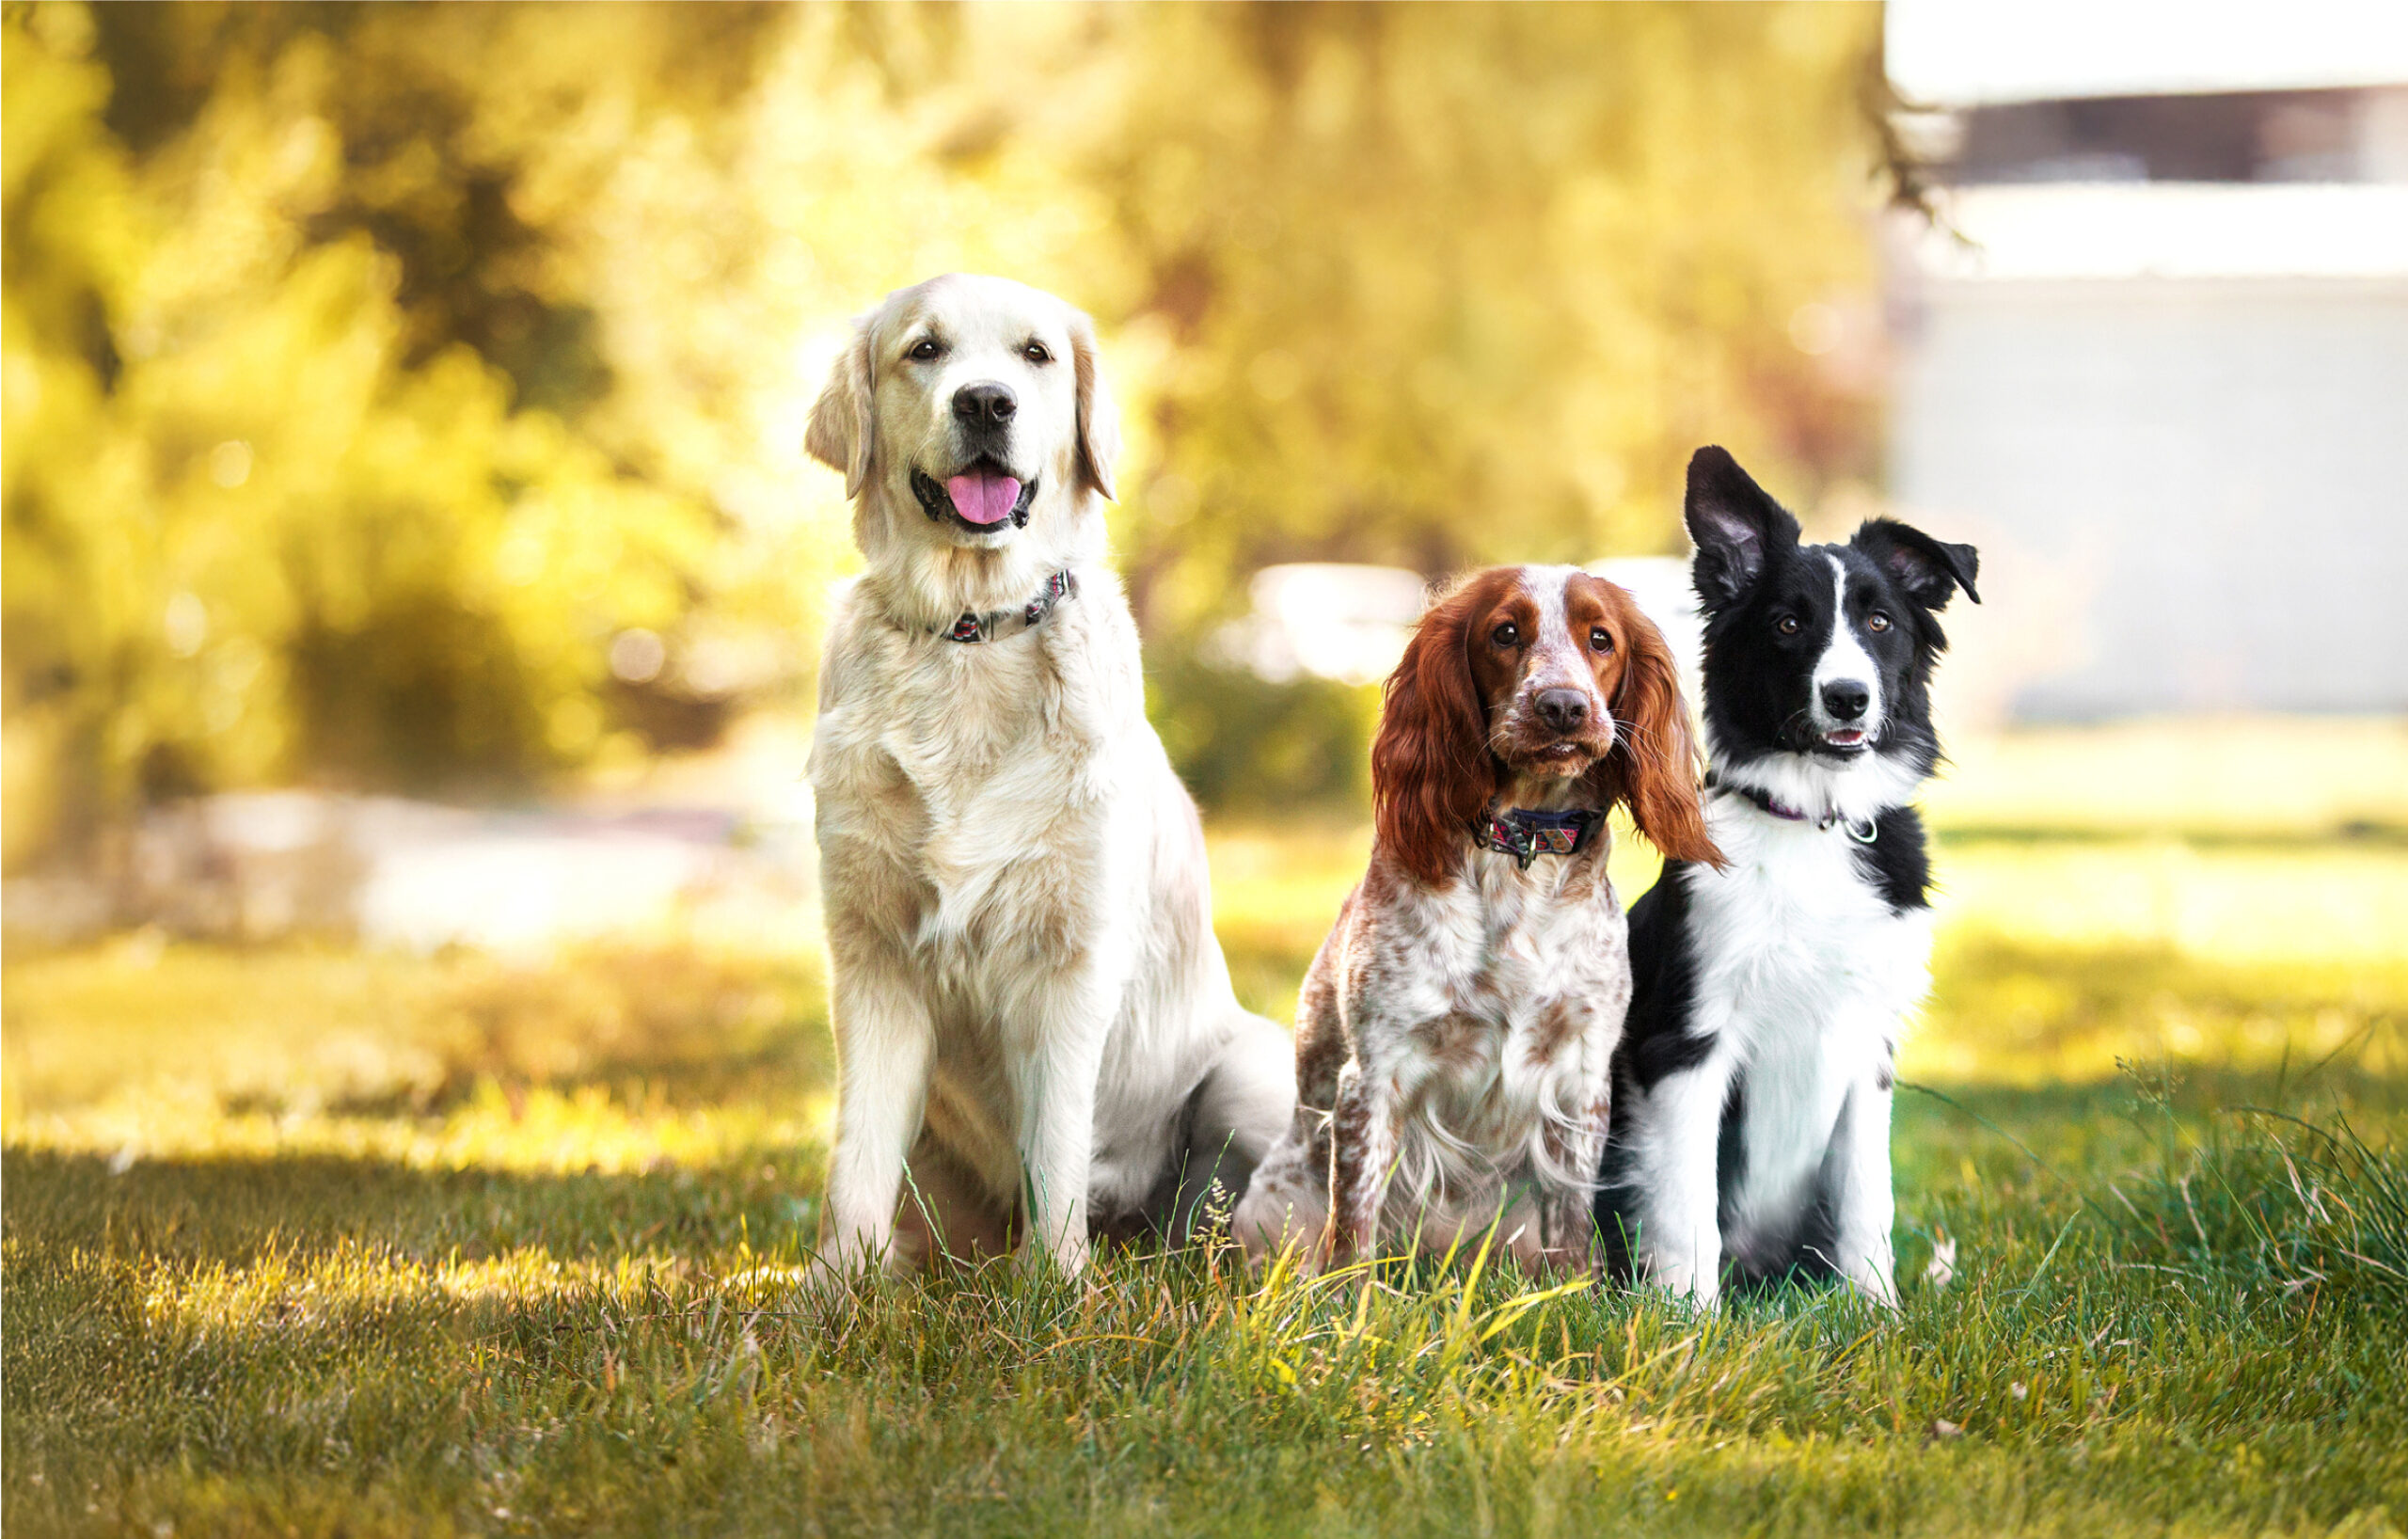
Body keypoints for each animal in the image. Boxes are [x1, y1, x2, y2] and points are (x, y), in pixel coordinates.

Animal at [804, 274, 1300, 1271]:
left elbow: (1057, 1142)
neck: (970, 635)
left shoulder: (1069, 956)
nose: (985, 402)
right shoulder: (871, 957)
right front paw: (830, 1291)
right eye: (924, 350)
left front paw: (1054, 1286)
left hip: (1253, 1070)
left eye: (1036, 354)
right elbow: (856, 1159)